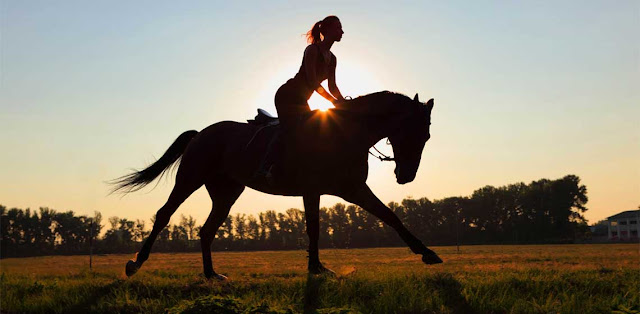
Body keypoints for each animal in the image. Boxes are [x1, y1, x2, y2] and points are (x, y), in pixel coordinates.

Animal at [112, 91, 442, 280]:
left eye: (426, 136)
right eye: (413, 133)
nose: (406, 175)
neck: (345, 133)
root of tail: (201, 133)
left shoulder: (347, 189)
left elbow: (390, 216)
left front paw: (427, 253)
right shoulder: (324, 190)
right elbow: (315, 228)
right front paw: (316, 268)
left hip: (226, 192)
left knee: (207, 230)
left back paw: (211, 275)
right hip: (189, 179)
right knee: (164, 215)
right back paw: (136, 264)